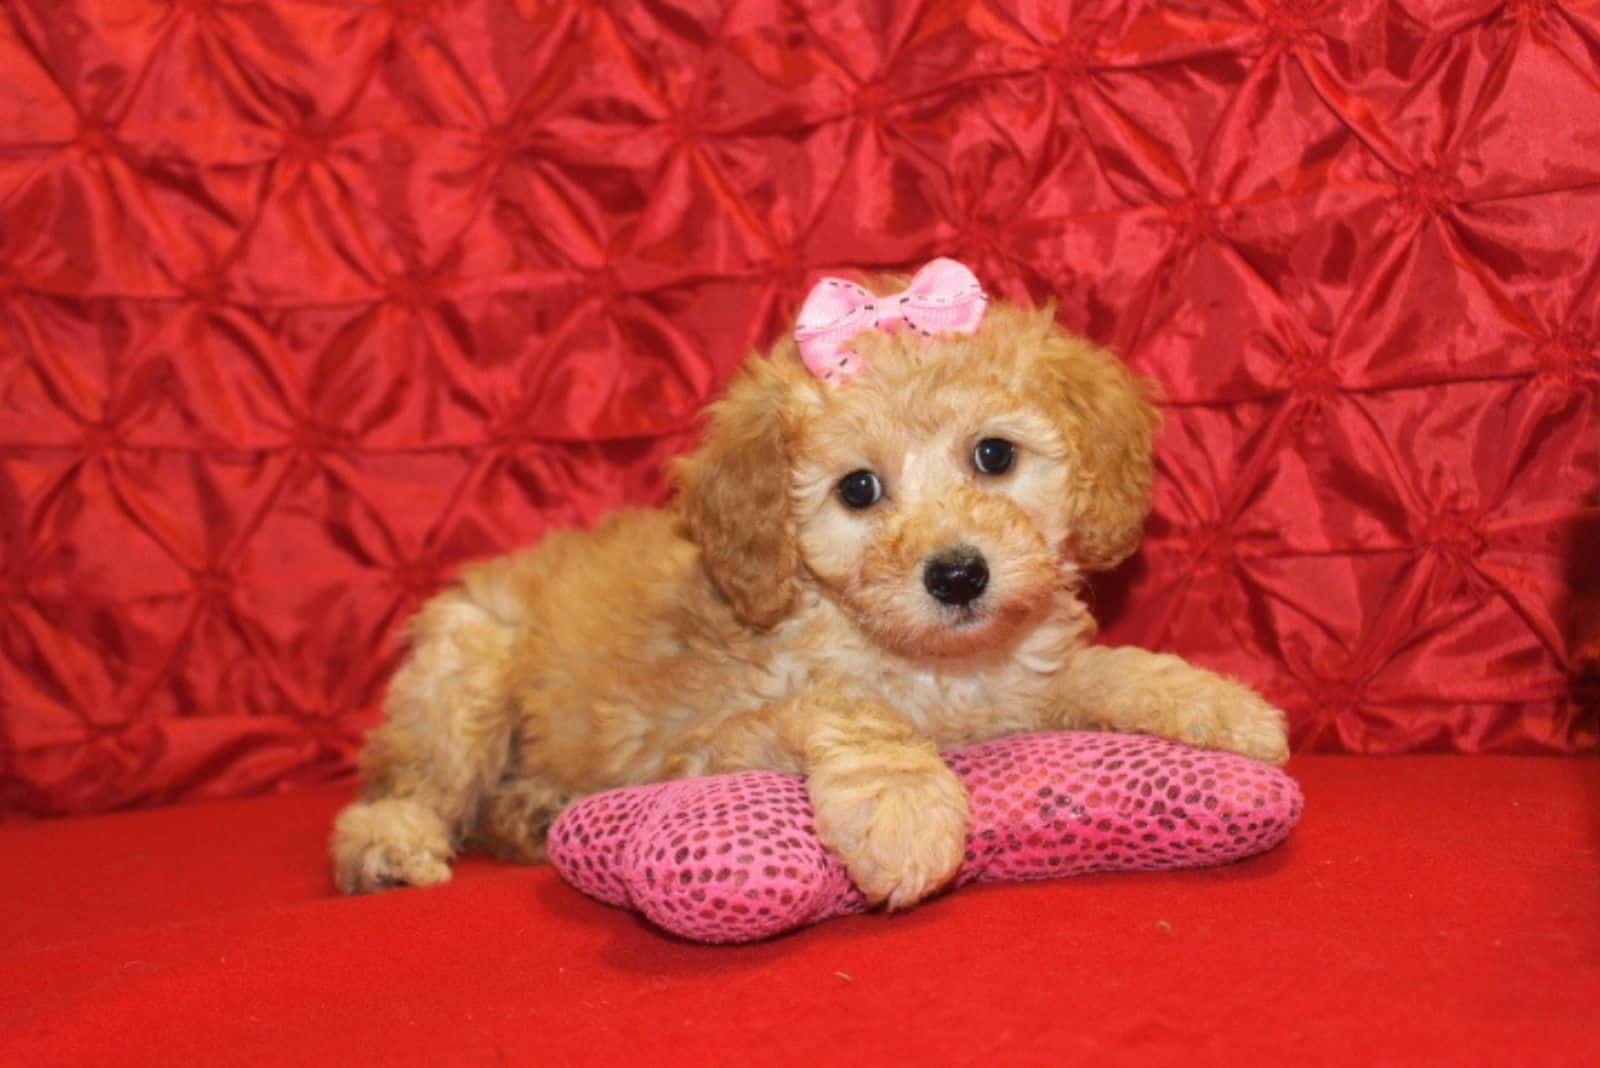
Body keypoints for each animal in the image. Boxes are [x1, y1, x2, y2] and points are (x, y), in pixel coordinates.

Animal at [334, 260, 1286, 908]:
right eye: (857, 489)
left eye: (994, 455)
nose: (957, 574)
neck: (935, 665)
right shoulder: (704, 745)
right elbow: (846, 708)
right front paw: (903, 803)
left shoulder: (1021, 685)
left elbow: (1101, 669)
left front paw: (1218, 705)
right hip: (461, 675)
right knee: (410, 784)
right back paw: (393, 844)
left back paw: (531, 813)